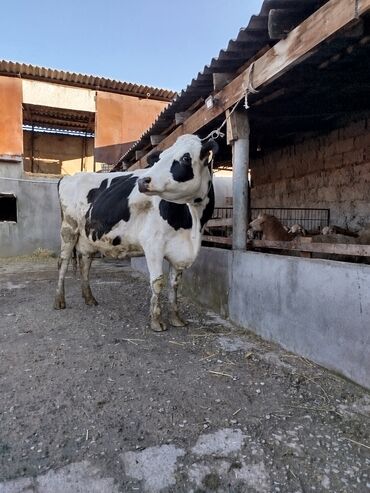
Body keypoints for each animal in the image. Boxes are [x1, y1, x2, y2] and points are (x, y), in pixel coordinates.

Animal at [53, 134, 218, 330]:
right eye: (160, 158)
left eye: (186, 158)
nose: (143, 181)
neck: (192, 223)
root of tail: (69, 177)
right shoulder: (153, 244)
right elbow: (157, 282)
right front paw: (156, 321)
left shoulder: (180, 252)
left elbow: (175, 284)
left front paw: (176, 318)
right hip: (69, 229)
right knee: (62, 263)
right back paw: (59, 301)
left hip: (87, 236)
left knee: (85, 263)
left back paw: (89, 298)